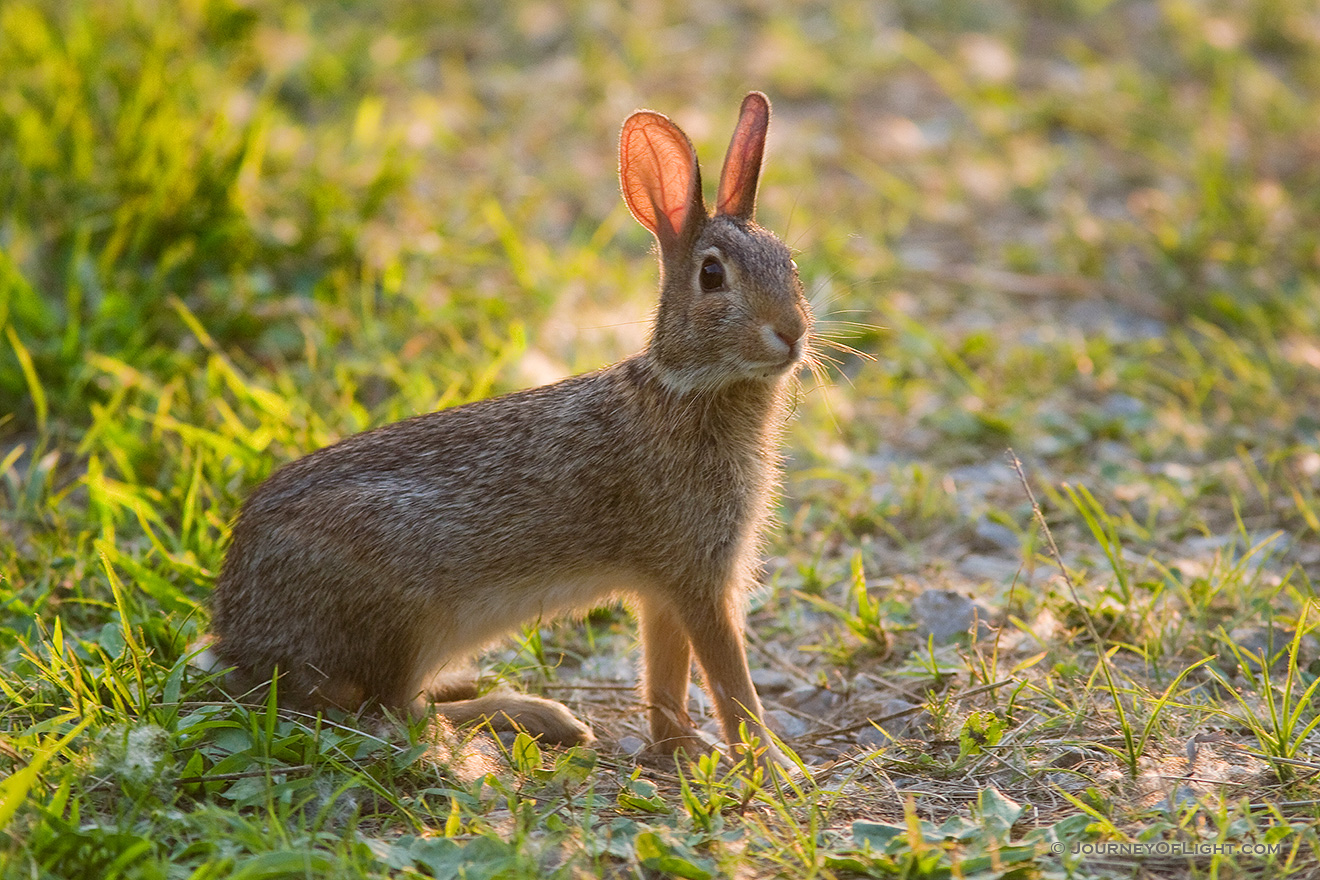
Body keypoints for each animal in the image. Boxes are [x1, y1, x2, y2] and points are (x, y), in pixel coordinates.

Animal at [205, 91, 807, 765]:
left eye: (789, 262)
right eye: (712, 277)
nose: (792, 333)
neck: (689, 385)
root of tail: (239, 633)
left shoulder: (664, 591)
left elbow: (666, 674)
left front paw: (681, 744)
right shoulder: (698, 577)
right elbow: (731, 683)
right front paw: (773, 766)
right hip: (407, 619)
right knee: (395, 711)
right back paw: (537, 715)